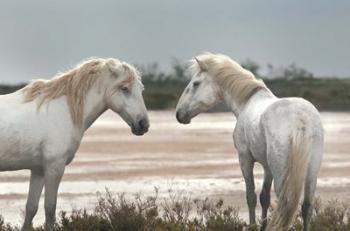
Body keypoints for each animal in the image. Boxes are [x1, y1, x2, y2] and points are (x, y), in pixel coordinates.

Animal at [0, 57, 149, 229]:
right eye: (125, 88)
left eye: (141, 89)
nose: (144, 124)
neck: (63, 111)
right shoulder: (54, 167)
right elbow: (50, 209)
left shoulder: (38, 170)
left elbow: (31, 209)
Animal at [176, 52, 324, 231]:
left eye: (196, 83)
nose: (179, 114)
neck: (247, 102)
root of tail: (301, 119)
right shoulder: (267, 167)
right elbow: (264, 197)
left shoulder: (245, 159)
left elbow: (251, 196)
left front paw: (253, 225)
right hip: (312, 171)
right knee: (307, 206)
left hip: (282, 173)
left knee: (286, 205)